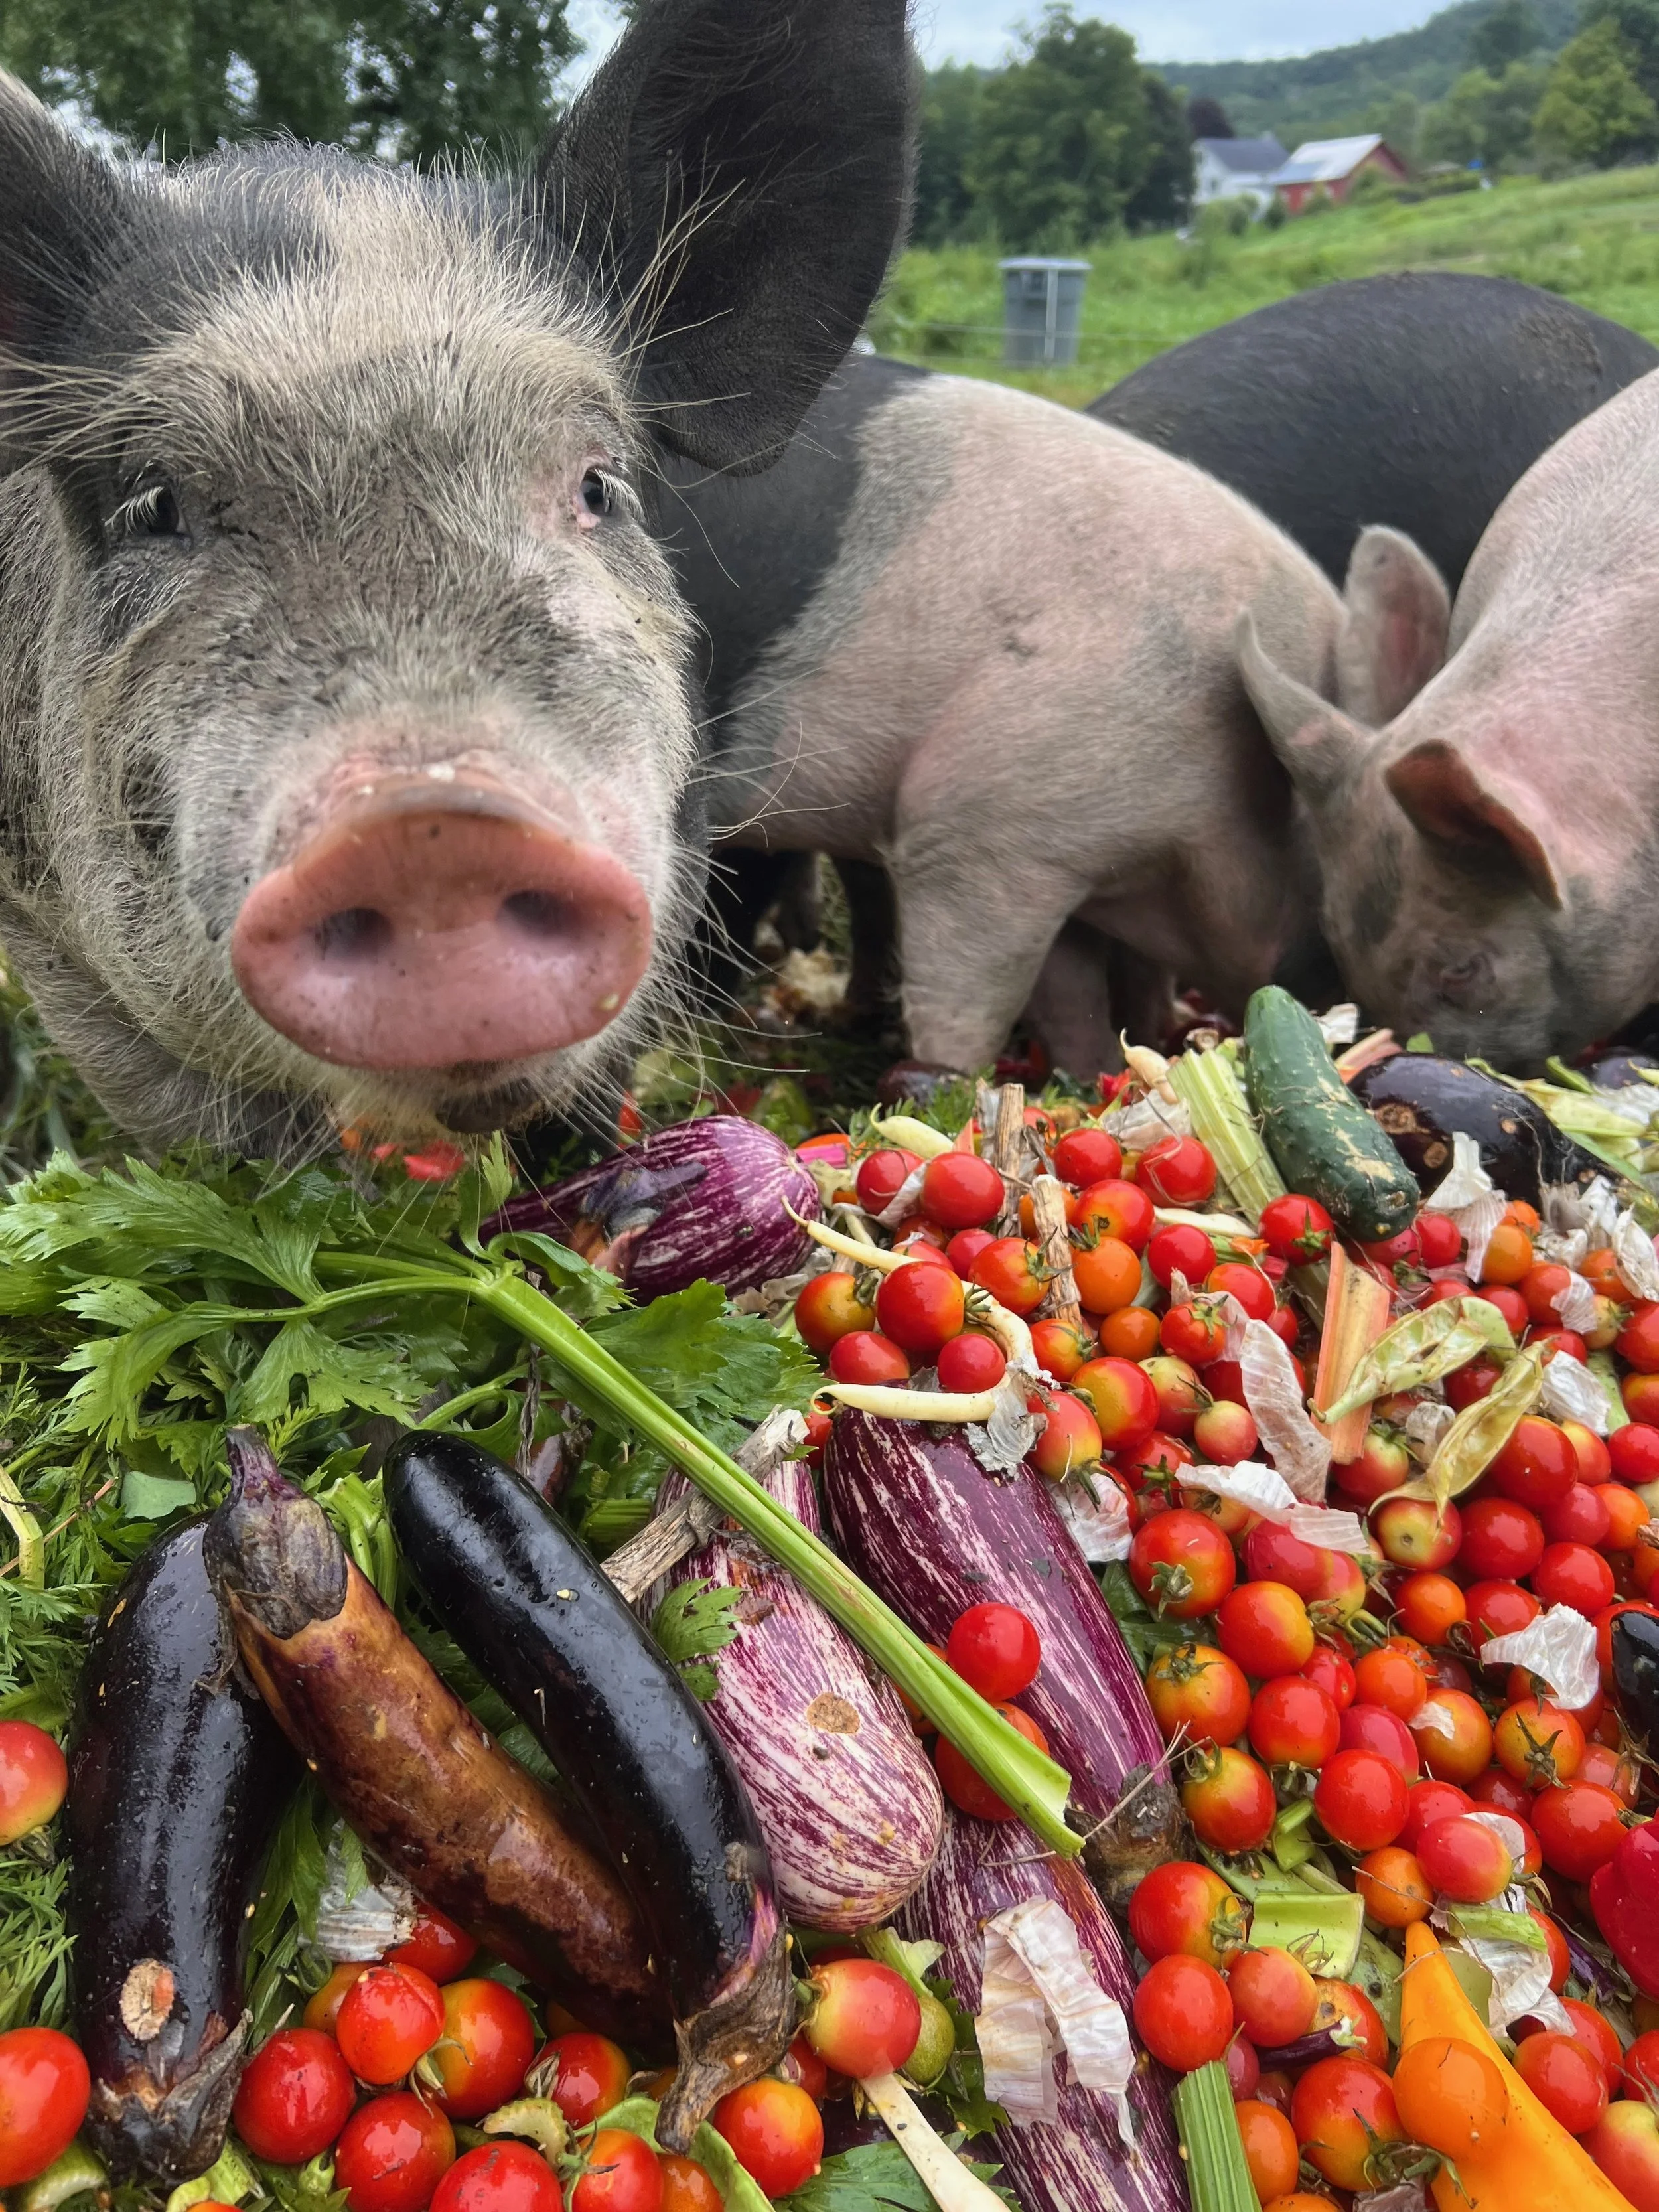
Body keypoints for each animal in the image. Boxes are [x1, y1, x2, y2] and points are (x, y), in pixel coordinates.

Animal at [690, 370, 1354, 1076]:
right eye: (1327, 884)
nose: (1338, 1002)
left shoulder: (1064, 864)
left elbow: (1076, 997)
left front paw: (1100, 1074)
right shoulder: (977, 831)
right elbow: (972, 1001)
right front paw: (952, 1080)